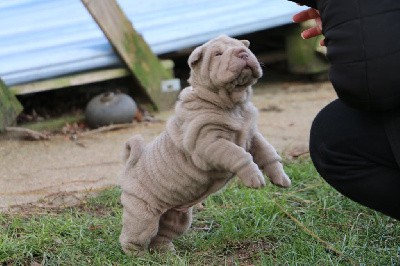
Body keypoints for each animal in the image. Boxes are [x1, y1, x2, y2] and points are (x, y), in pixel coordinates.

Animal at [119, 34, 290, 255]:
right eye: (218, 54)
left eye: (244, 47)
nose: (243, 53)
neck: (233, 105)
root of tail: (129, 168)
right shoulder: (209, 143)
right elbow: (239, 154)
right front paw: (255, 179)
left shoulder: (252, 135)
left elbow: (267, 152)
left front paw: (281, 179)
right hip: (142, 214)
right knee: (134, 237)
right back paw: (138, 256)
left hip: (178, 216)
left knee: (162, 235)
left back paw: (168, 255)